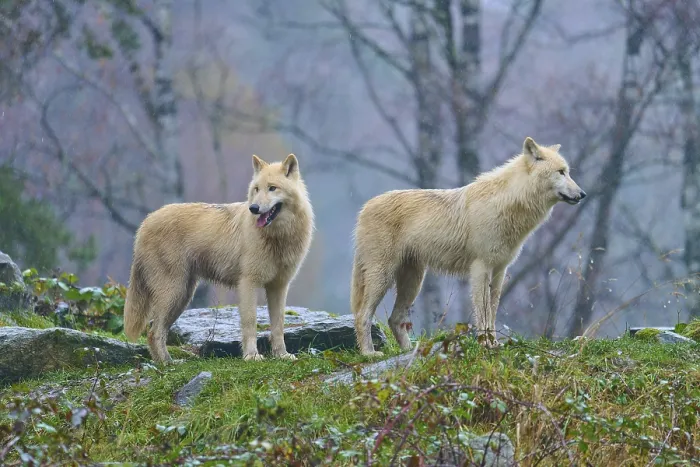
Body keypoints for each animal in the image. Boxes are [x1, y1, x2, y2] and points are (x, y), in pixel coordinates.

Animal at [123, 154, 314, 364]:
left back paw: (170, 362)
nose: (253, 208)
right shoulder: (248, 284)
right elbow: (250, 323)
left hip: (183, 296)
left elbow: (278, 325)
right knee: (153, 332)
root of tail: (145, 222)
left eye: (272, 188)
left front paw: (282, 355)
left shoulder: (278, 287)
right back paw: (167, 364)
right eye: (256, 189)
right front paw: (251, 356)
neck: (278, 237)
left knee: (157, 330)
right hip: (174, 293)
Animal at [351, 137, 586, 356]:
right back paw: (369, 353)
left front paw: (494, 343)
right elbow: (483, 312)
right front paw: (485, 344)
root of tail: (364, 207)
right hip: (383, 276)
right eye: (561, 172)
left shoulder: (500, 270)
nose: (583, 194)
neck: (509, 203)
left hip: (414, 280)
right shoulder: (480, 268)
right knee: (362, 314)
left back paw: (409, 351)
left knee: (394, 319)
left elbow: (492, 311)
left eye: (568, 172)